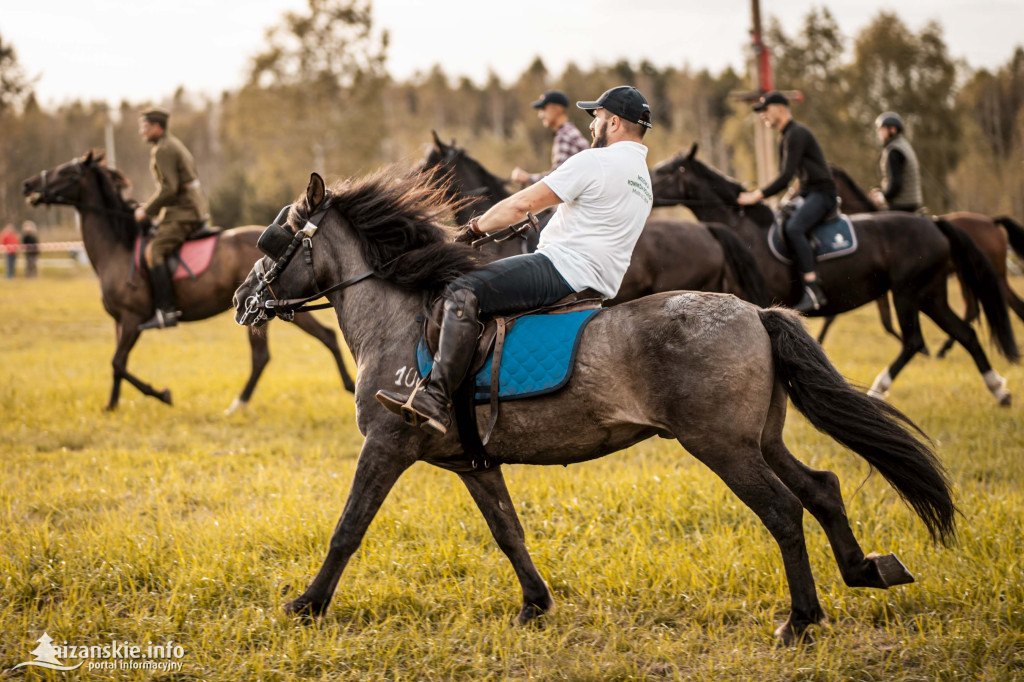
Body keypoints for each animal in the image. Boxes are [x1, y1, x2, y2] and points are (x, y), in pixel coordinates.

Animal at [22, 151, 356, 409]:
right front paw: (112, 404)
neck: (118, 246)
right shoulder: (120, 321)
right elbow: (118, 365)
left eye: (66, 171)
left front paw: (161, 394)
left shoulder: (132, 319)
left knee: (319, 338)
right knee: (266, 355)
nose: (28, 184)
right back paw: (242, 402)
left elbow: (117, 362)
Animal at [234, 168, 958, 643]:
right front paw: (534, 604)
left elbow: (348, 527)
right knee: (823, 488)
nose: (243, 301)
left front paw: (308, 604)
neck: (404, 321)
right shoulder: (474, 462)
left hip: (722, 447)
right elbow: (508, 532)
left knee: (783, 511)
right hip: (763, 439)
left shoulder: (388, 444)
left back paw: (800, 620)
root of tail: (757, 311)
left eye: (272, 242)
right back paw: (865, 570)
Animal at [827, 164, 1024, 356]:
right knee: (977, 310)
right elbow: (886, 323)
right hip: (968, 277)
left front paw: (923, 349)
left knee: (1006, 305)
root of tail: (992, 221)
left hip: (987, 276)